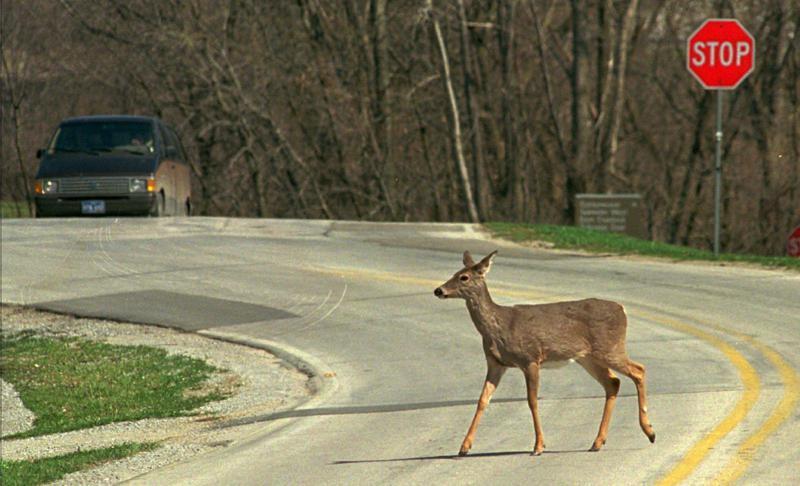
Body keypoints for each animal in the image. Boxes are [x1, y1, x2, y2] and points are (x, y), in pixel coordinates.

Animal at [438, 251, 656, 456]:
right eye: (454, 273)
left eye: (464, 277)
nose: (438, 290)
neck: (498, 328)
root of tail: (622, 309)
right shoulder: (495, 363)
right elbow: (482, 400)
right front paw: (464, 447)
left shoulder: (530, 358)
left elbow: (532, 401)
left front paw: (538, 446)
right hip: (588, 357)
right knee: (613, 383)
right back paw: (597, 442)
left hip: (610, 348)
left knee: (639, 370)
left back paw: (650, 432)